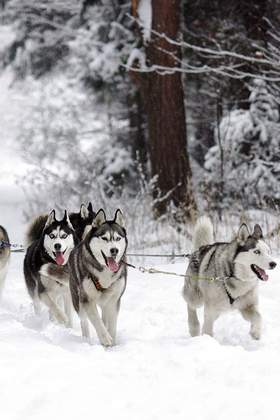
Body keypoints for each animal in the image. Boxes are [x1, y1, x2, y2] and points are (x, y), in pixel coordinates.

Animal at [68, 208, 127, 346]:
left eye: (117, 238)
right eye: (104, 238)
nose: (114, 250)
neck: (105, 270)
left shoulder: (114, 300)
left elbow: (112, 324)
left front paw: (112, 342)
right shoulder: (87, 300)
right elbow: (96, 320)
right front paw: (105, 338)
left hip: (105, 302)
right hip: (78, 301)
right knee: (84, 321)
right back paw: (86, 340)